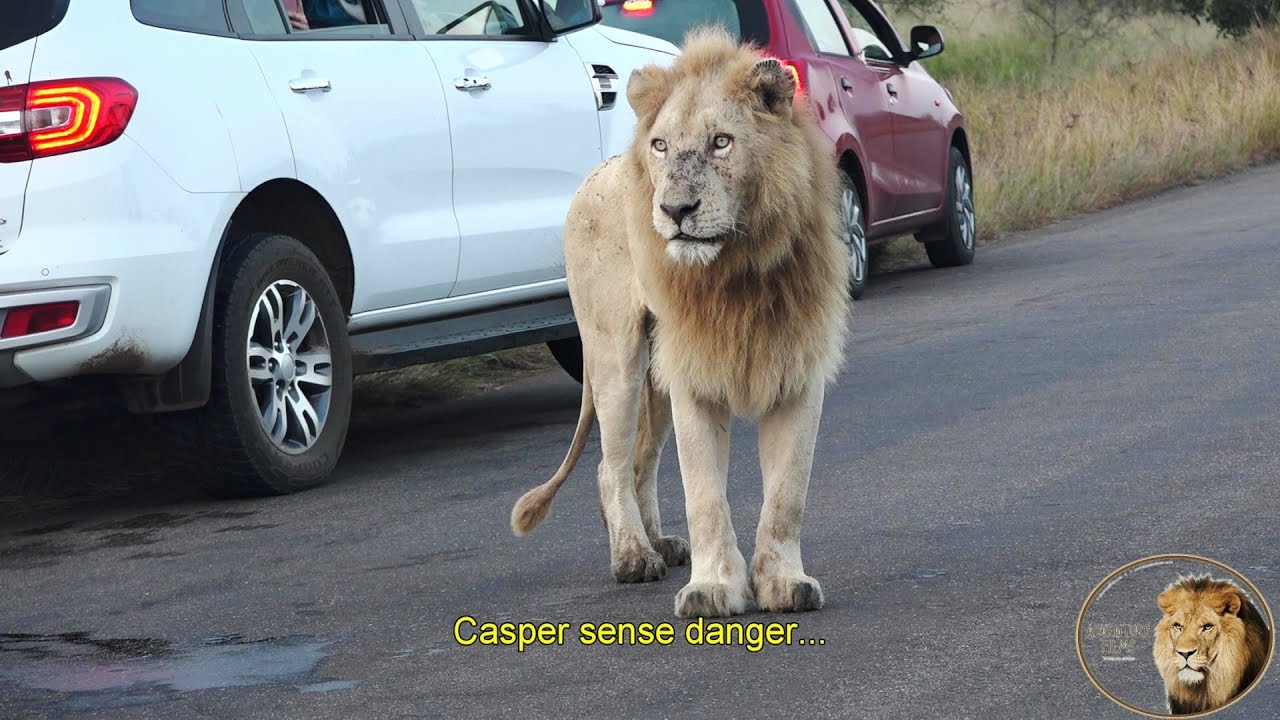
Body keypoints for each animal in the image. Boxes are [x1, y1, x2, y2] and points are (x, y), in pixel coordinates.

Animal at [508, 28, 851, 619]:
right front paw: (712, 590)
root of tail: (596, 173)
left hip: (656, 378)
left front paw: (783, 583)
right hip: (616, 359)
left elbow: (788, 495)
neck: (737, 270)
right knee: (611, 467)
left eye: (721, 142)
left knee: (641, 462)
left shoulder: (798, 373)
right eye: (662, 146)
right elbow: (705, 496)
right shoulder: (695, 377)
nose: (674, 210)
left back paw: (658, 543)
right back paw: (632, 556)